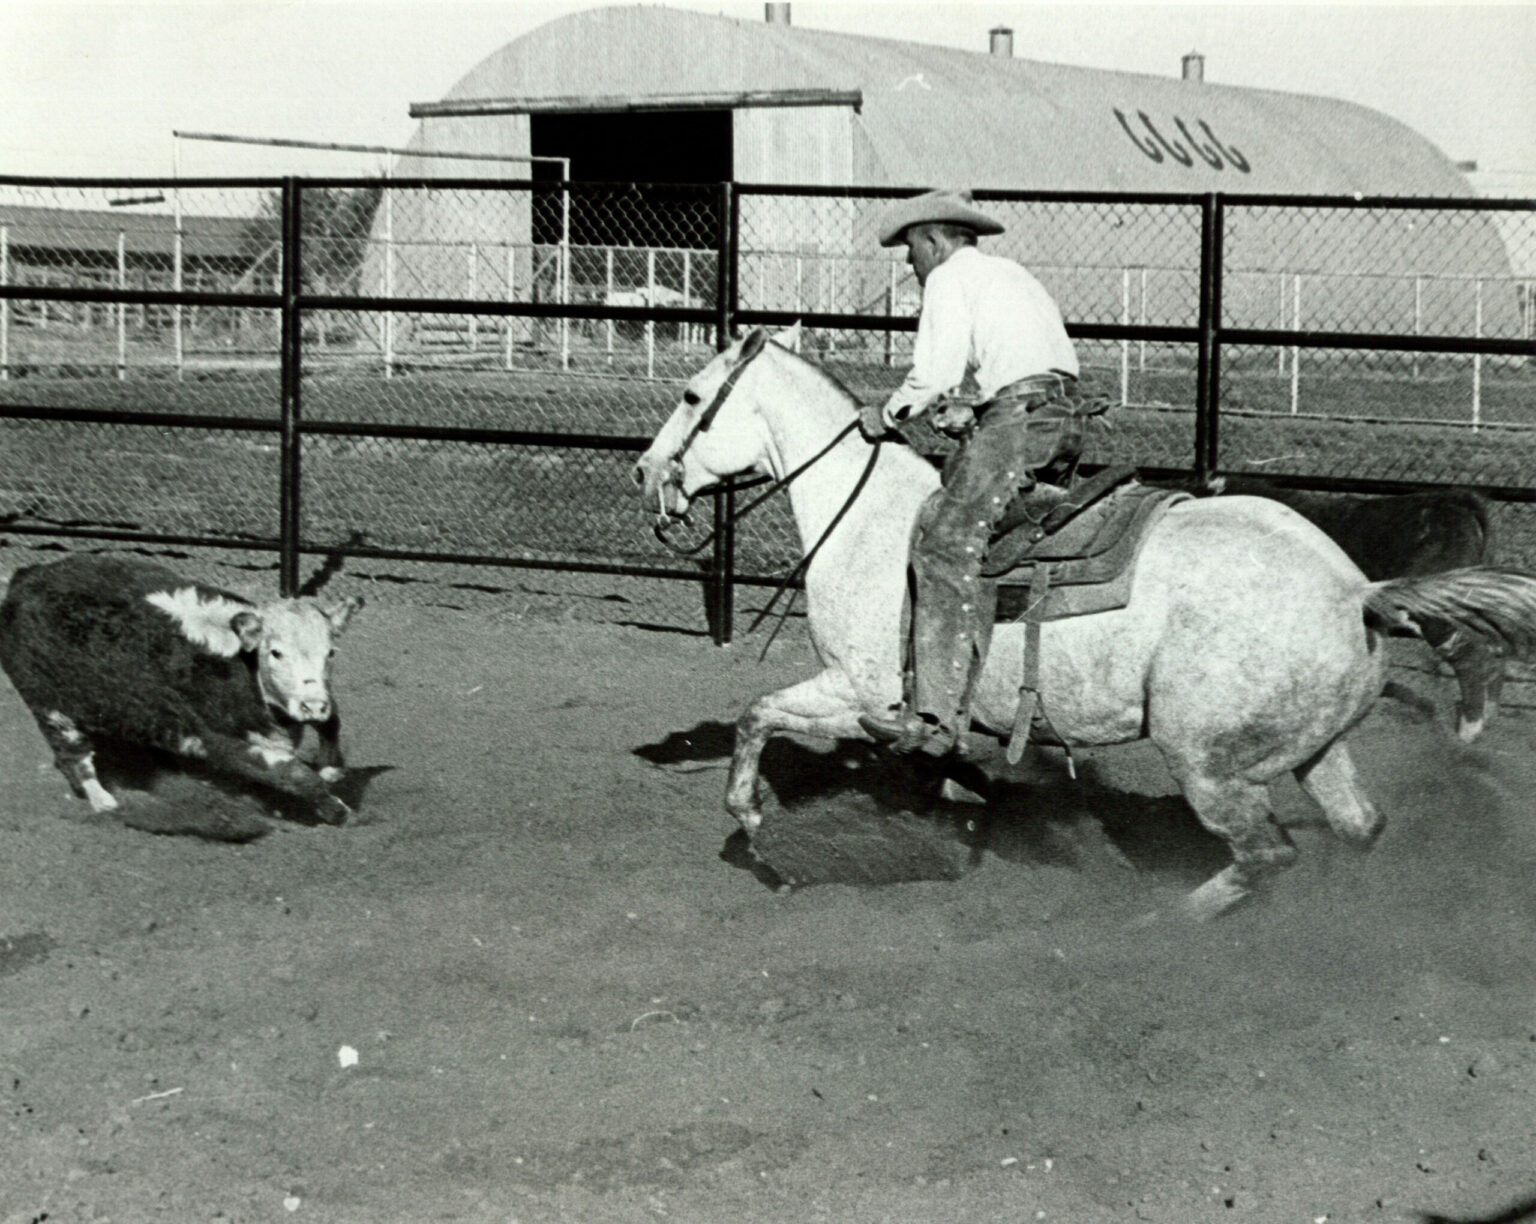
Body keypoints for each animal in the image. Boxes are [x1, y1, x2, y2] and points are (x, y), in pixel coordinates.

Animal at [0, 559, 362, 823]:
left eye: (330, 652)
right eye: (276, 653)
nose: (312, 705)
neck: (240, 663)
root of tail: (25, 576)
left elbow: (333, 723)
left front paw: (331, 767)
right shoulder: (222, 741)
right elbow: (296, 774)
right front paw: (336, 809)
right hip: (51, 708)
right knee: (74, 756)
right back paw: (105, 802)